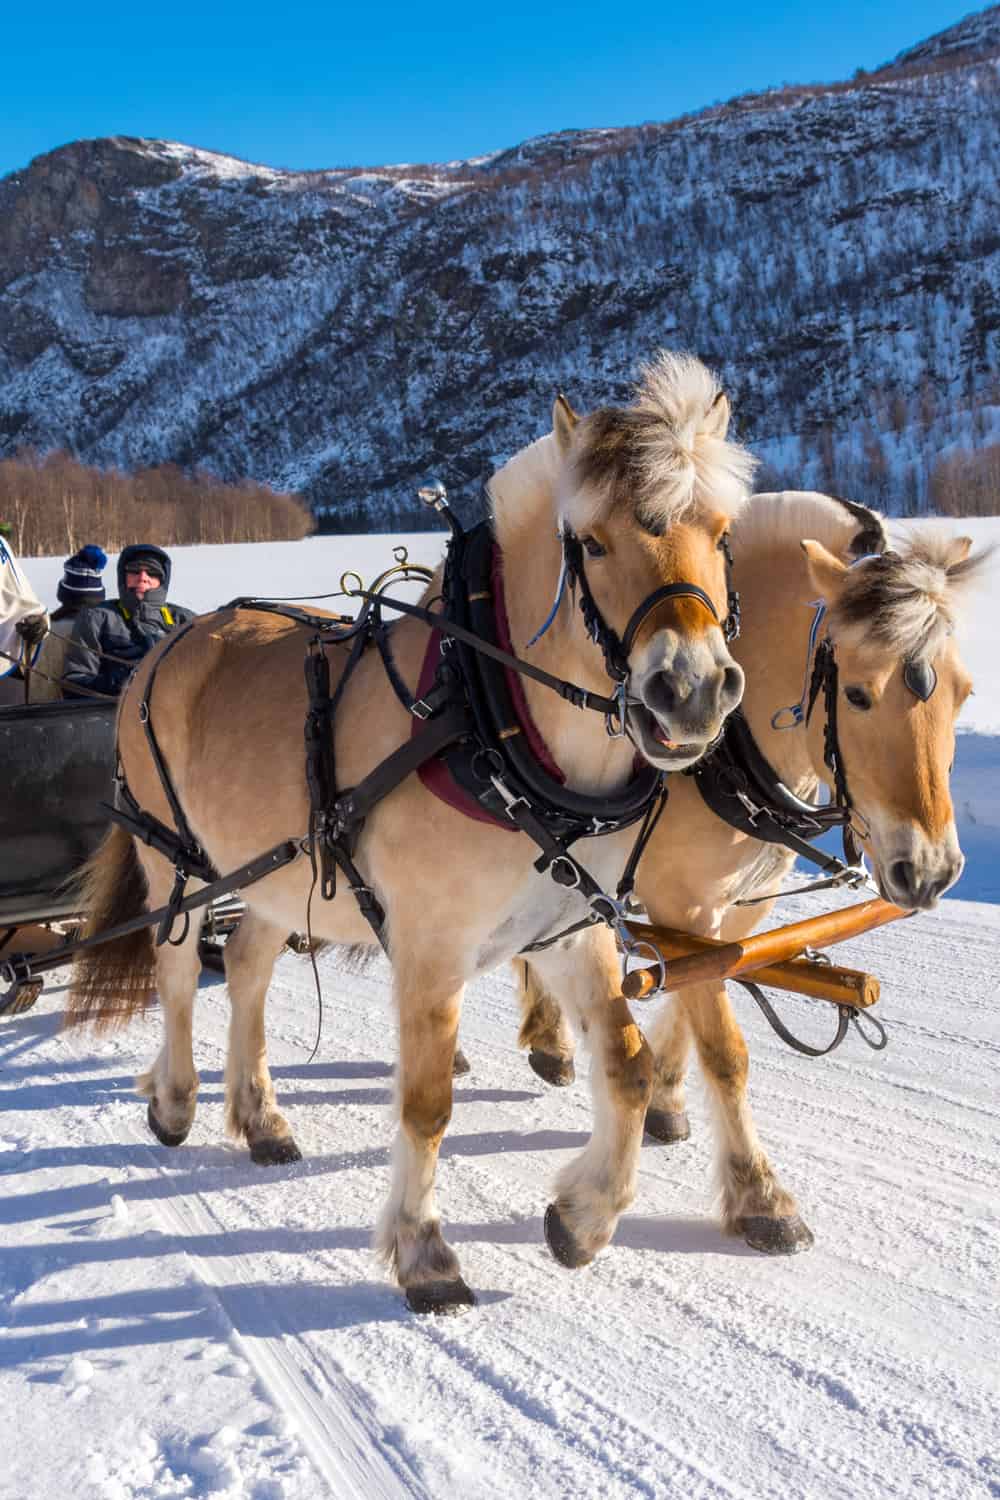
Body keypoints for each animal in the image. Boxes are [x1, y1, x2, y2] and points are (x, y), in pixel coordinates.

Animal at [68, 352, 754, 1313]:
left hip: (274, 873)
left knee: (244, 972)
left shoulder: (568, 926)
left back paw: (261, 1116)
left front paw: (581, 1220)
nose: (690, 691)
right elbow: (427, 1103)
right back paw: (174, 1102)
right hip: (175, 858)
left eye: (721, 531)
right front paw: (425, 1254)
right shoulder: (431, 945)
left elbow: (625, 1061)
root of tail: (171, 644)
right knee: (175, 976)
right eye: (592, 542)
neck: (492, 722)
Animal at [515, 490, 987, 1254]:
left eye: (966, 693)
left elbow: (692, 993)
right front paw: (761, 1196)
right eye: (858, 695)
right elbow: (725, 1048)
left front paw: (666, 1101)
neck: (728, 747)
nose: (932, 871)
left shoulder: (741, 908)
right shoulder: (680, 903)